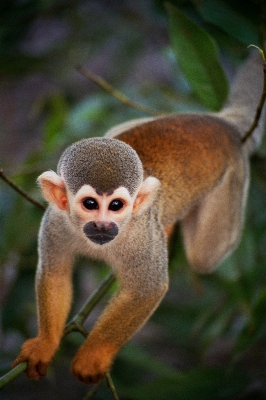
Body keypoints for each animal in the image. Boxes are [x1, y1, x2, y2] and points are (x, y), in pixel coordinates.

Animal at [13, 50, 264, 384]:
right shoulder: (55, 222)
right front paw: (45, 343)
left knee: (205, 256)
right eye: (90, 204)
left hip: (235, 177)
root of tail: (222, 124)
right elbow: (56, 273)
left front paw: (93, 356)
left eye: (117, 205)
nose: (103, 225)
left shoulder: (141, 235)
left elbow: (148, 289)